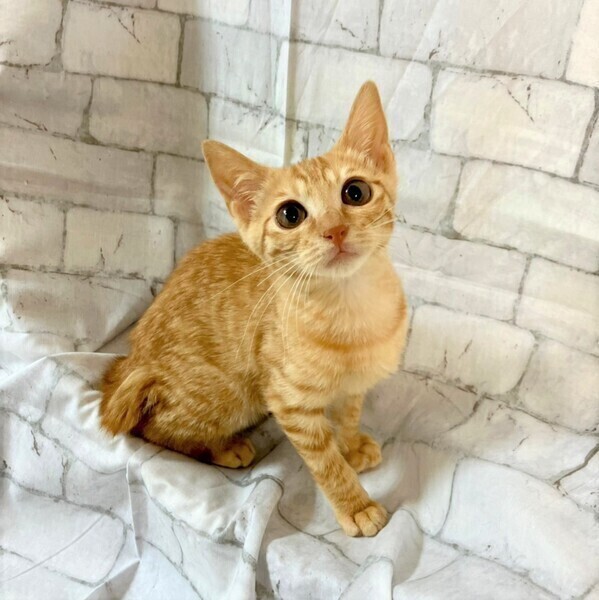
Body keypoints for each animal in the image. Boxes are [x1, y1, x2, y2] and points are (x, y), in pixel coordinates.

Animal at [100, 81, 408, 537]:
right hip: (230, 395)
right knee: (156, 428)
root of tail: (133, 363)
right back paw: (222, 448)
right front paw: (355, 503)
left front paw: (351, 445)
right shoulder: (288, 401)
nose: (334, 230)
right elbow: (324, 461)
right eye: (290, 214)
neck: (351, 306)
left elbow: (349, 413)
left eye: (356, 192)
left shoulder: (354, 385)